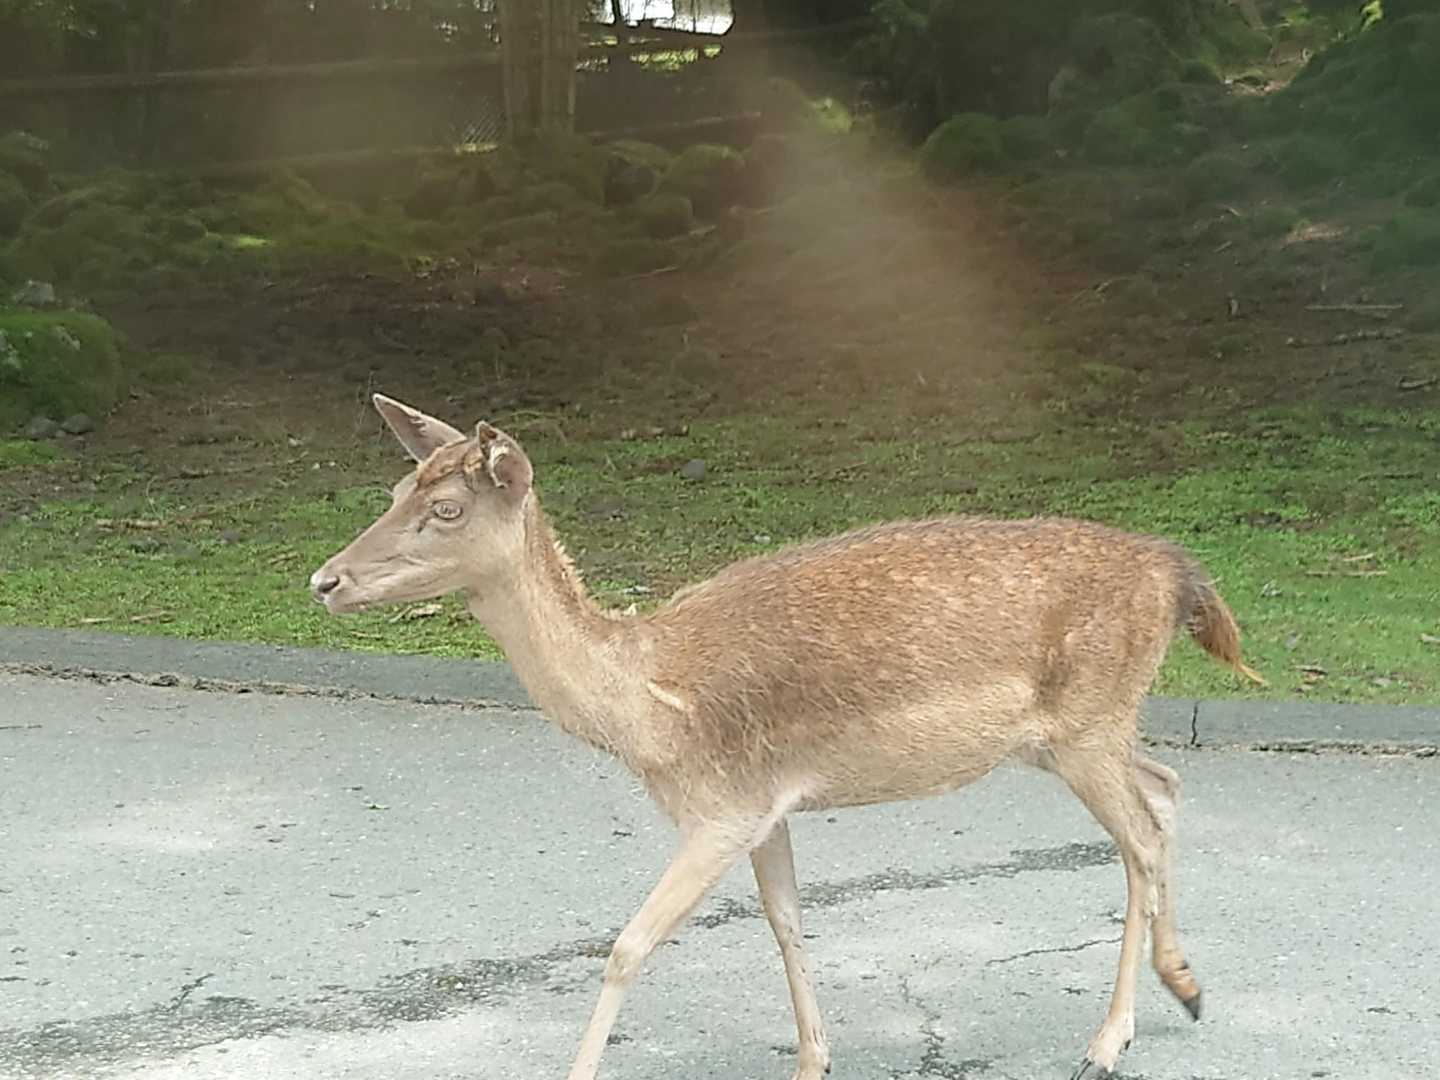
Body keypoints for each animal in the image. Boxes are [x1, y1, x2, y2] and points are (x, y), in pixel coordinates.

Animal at [310, 394, 1265, 1080]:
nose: (325, 579)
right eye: (392, 493)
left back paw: (1112, 1039)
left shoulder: (723, 805)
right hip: (1077, 731)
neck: (651, 710)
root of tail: (1181, 573)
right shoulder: (768, 806)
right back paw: (1182, 989)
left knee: (1139, 838)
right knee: (1165, 790)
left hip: (1087, 723)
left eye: (444, 507)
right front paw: (815, 1060)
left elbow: (626, 946)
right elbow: (786, 922)